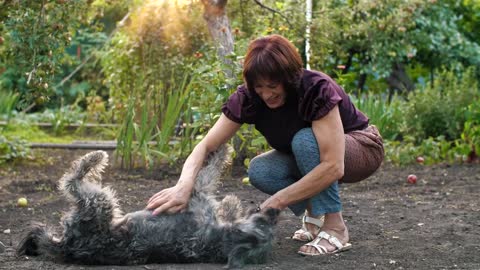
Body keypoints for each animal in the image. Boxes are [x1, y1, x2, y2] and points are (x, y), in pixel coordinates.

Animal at [16, 147, 280, 268]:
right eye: (265, 223)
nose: (275, 211)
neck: (221, 240)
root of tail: (68, 245)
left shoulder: (199, 193)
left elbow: (211, 170)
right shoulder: (200, 195)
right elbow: (212, 172)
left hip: (99, 202)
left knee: (72, 180)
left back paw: (94, 158)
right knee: (72, 180)